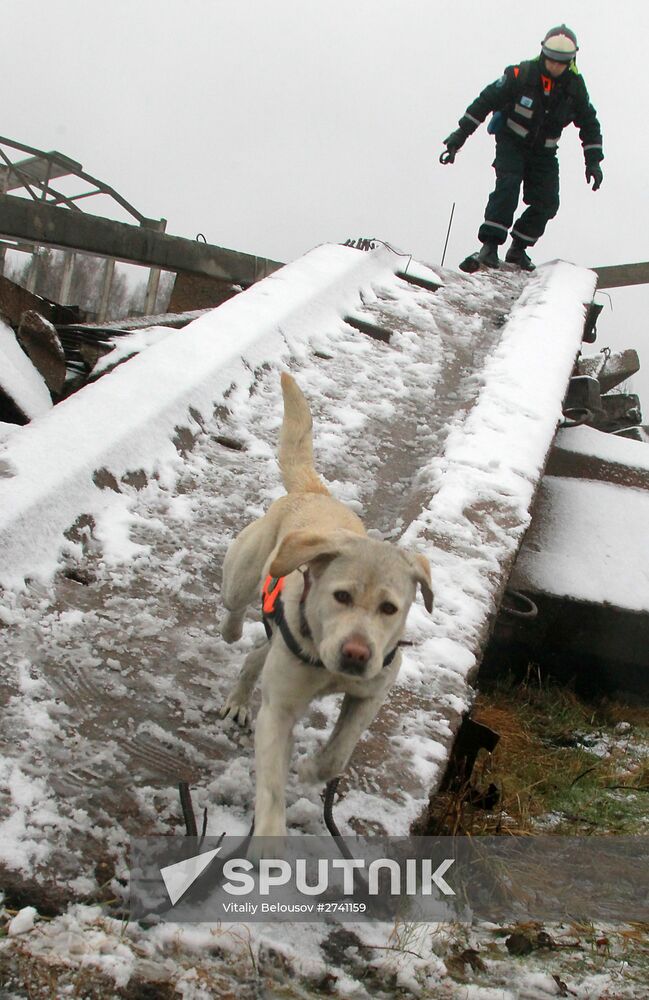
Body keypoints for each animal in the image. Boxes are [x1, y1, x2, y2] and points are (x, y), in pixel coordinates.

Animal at [218, 374, 430, 836]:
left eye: (389, 609)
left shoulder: (374, 689)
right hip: (244, 573)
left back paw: (240, 698)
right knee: (234, 607)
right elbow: (271, 786)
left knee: (256, 656)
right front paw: (269, 838)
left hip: (277, 635)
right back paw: (231, 632)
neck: (325, 663)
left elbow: (339, 751)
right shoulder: (279, 711)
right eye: (341, 596)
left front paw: (313, 770)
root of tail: (315, 492)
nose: (356, 653)